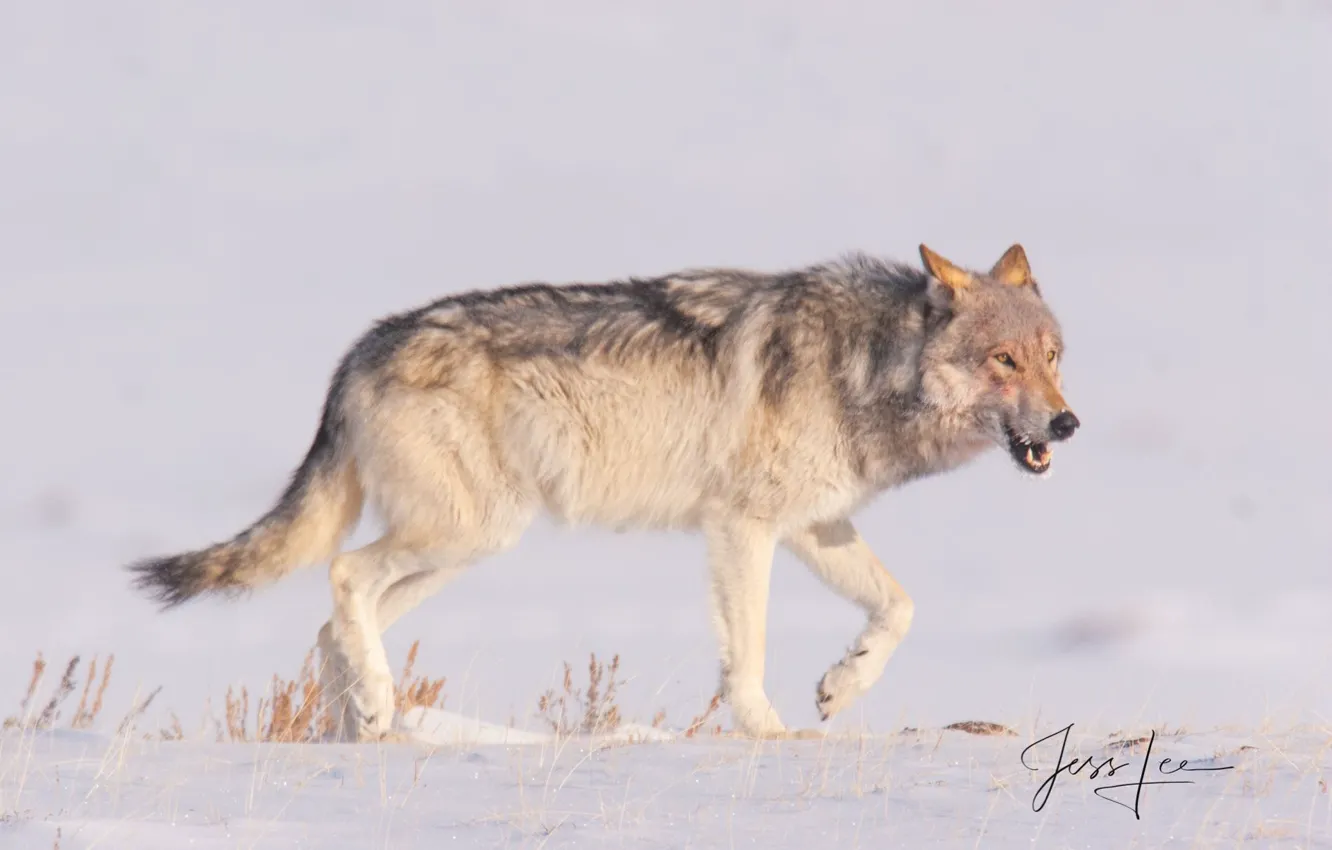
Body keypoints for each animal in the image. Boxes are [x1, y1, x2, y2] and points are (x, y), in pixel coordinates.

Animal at [128, 243, 1079, 741]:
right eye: (1003, 360)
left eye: (1052, 356)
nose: (1067, 424)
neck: (868, 366)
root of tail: (362, 348)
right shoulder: (742, 528)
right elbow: (747, 652)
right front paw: (767, 733)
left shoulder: (813, 524)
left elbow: (899, 607)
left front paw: (841, 688)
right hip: (462, 535)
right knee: (342, 578)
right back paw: (375, 705)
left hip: (468, 547)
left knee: (332, 625)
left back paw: (363, 725)